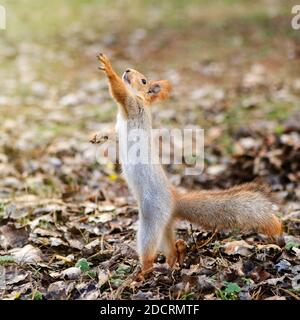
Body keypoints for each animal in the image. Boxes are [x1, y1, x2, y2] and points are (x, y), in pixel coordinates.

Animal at [97, 53, 282, 274]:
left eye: (143, 80)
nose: (127, 70)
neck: (138, 100)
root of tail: (173, 200)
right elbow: (113, 134)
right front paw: (98, 136)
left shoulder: (132, 105)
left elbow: (118, 90)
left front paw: (108, 68)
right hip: (164, 224)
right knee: (169, 245)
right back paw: (175, 258)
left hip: (151, 219)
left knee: (149, 251)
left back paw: (142, 273)